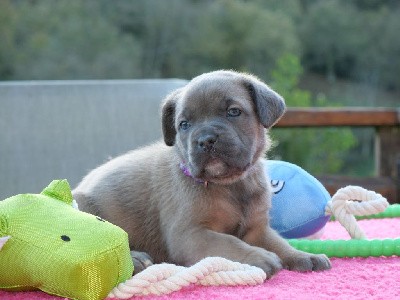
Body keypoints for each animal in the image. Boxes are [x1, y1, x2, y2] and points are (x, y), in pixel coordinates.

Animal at [72, 70, 332, 276]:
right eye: (184, 125)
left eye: (233, 112)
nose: (206, 140)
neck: (230, 185)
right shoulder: (191, 235)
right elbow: (229, 243)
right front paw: (258, 257)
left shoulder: (258, 230)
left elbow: (279, 243)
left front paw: (302, 255)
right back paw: (136, 260)